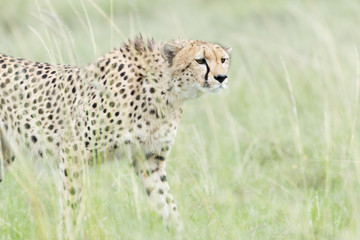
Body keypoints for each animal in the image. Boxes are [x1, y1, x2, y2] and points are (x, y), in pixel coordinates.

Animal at [0, 36, 231, 233]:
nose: (221, 77)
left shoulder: (149, 159)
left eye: (223, 59)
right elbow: (72, 204)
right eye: (200, 60)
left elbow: (167, 204)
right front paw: (69, 232)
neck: (164, 92)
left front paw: (180, 232)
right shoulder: (73, 153)